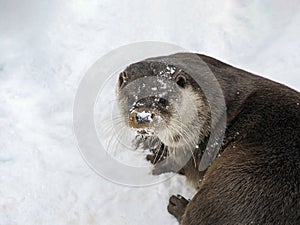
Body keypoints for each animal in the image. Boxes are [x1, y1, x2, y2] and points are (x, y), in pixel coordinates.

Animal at [116, 53, 298, 225]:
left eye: (162, 100)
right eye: (130, 97)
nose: (143, 116)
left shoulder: (188, 144)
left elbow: (176, 163)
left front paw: (155, 160)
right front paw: (146, 141)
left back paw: (177, 204)